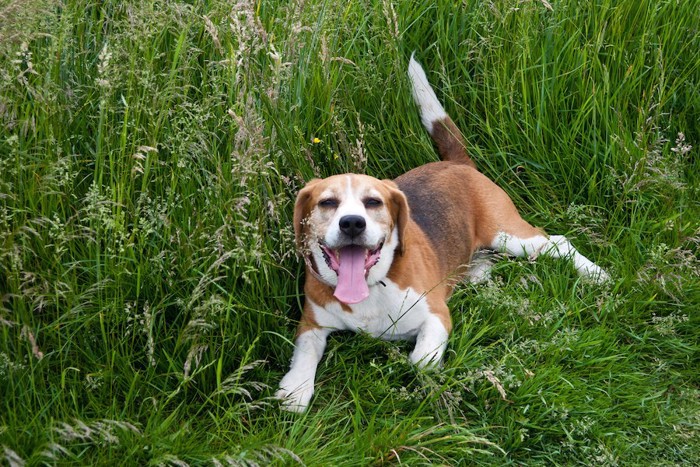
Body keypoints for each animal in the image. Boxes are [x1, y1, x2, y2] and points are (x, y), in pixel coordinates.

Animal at [274, 56, 608, 412]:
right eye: (327, 202)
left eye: (373, 202)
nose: (352, 223)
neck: (370, 287)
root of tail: (459, 164)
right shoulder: (311, 324)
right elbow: (305, 353)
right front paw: (296, 389)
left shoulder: (436, 314)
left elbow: (421, 360)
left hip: (509, 235)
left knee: (556, 243)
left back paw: (594, 274)